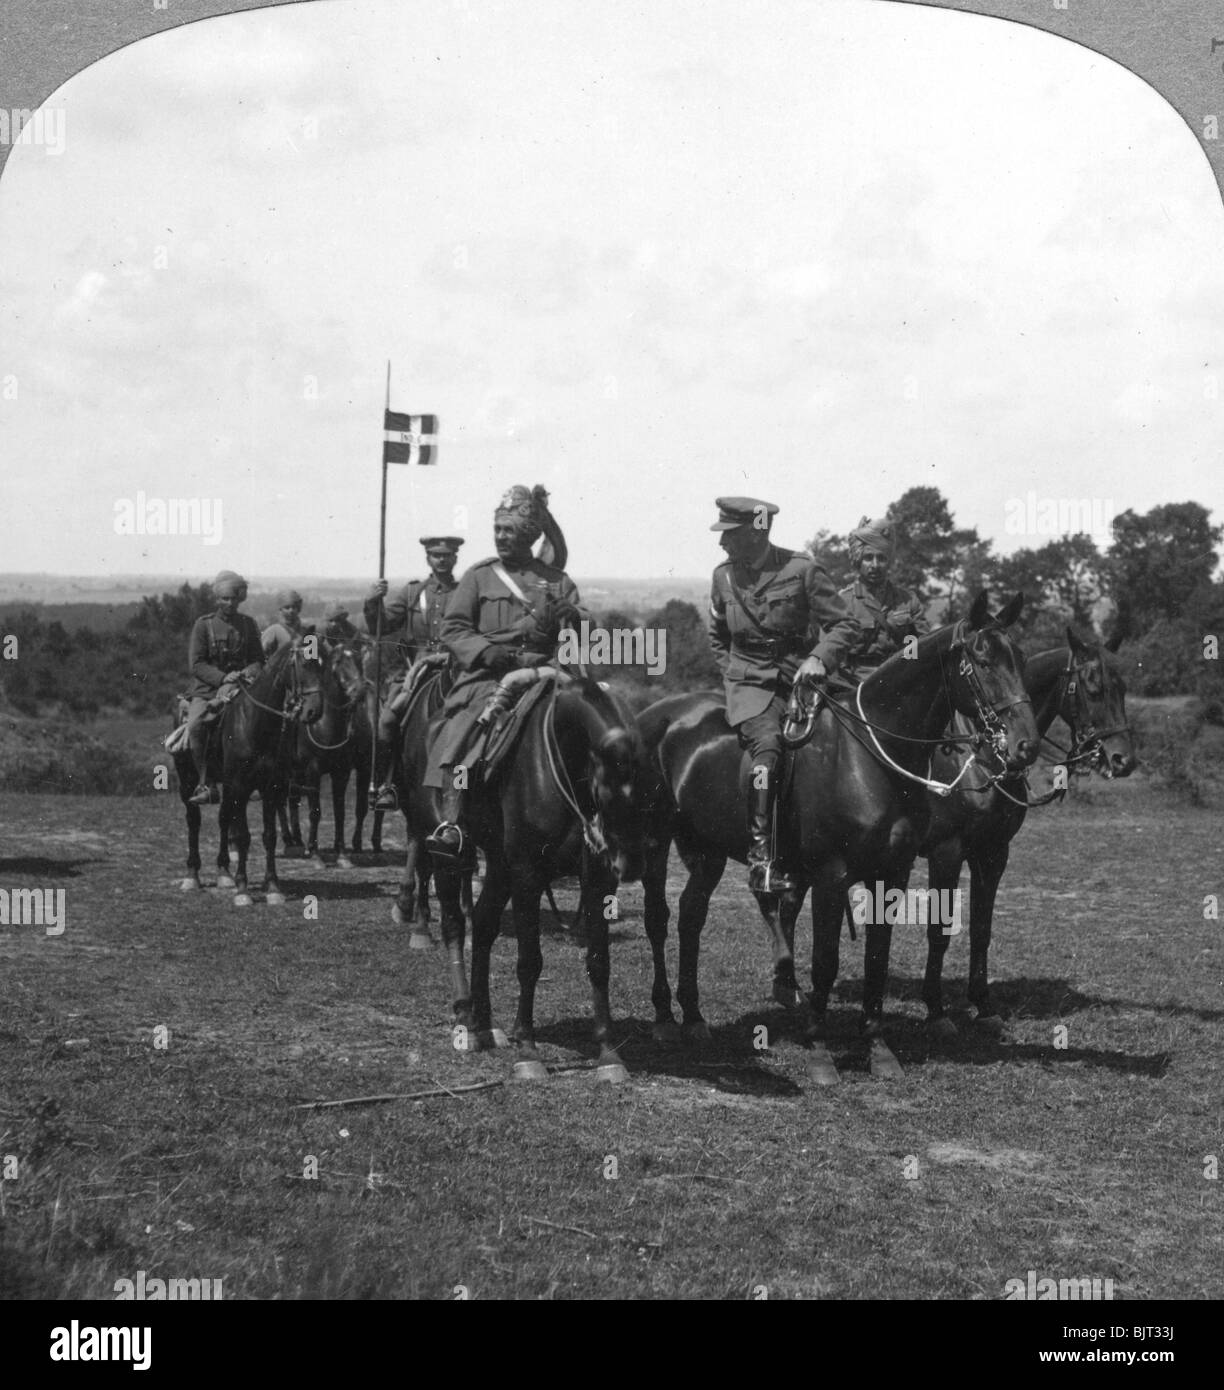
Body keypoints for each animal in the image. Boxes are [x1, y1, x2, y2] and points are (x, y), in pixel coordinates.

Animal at [172, 639, 325, 900]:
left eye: (322, 665)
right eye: (304, 664)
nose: (314, 711)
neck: (255, 722)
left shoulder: (270, 787)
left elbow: (269, 836)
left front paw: (272, 886)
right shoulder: (240, 786)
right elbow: (243, 836)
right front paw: (242, 889)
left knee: (223, 819)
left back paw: (224, 872)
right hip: (188, 780)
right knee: (193, 820)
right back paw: (192, 875)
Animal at [276, 639, 366, 867]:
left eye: (359, 659)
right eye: (338, 662)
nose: (359, 691)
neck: (325, 724)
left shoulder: (341, 772)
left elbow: (340, 812)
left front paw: (342, 854)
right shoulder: (313, 771)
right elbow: (315, 811)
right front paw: (316, 854)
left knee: (291, 801)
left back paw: (298, 842)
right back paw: (290, 841)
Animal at [433, 678, 652, 1078]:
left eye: (651, 787)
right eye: (609, 786)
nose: (631, 864)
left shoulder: (598, 879)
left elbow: (599, 961)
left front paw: (608, 1052)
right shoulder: (527, 874)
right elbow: (529, 961)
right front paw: (528, 1050)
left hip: (499, 864)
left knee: (484, 923)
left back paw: (484, 1024)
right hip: (445, 852)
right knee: (455, 923)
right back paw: (466, 1023)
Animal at [636, 592, 1033, 1078]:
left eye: (1020, 658)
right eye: (983, 660)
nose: (1025, 745)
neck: (869, 757)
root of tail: (652, 717)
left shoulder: (894, 873)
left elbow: (878, 957)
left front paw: (879, 1047)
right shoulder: (833, 875)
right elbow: (826, 961)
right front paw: (819, 1049)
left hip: (706, 849)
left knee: (692, 915)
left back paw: (693, 1017)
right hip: (655, 843)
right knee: (658, 918)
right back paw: (664, 1017)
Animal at [916, 628, 1139, 1034]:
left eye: (1123, 687)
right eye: (1093, 687)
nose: (1123, 759)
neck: (982, 756)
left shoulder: (993, 853)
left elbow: (982, 929)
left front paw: (983, 1004)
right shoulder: (946, 852)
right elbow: (938, 931)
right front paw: (936, 1011)